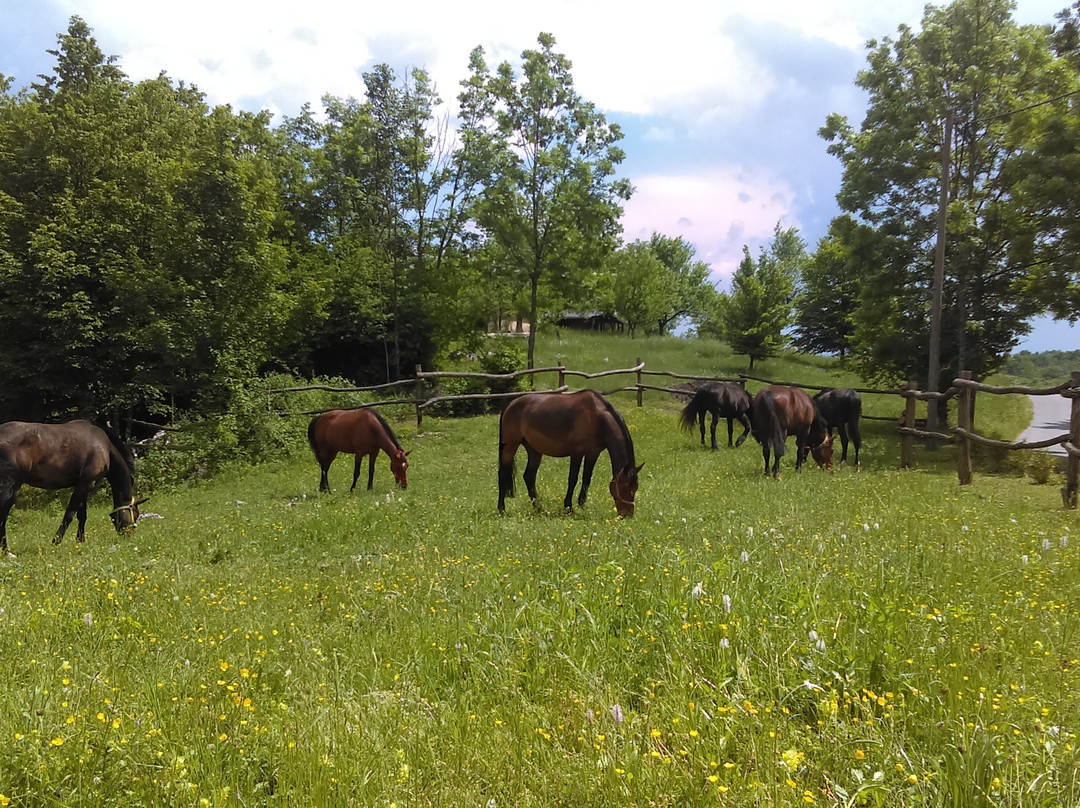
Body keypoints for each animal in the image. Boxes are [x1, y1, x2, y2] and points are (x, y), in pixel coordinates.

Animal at [0, 419, 145, 553]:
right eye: (136, 514)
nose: (129, 535)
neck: (105, 447)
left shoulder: (84, 486)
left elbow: (82, 515)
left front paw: (80, 540)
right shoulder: (85, 484)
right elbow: (69, 514)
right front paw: (57, 540)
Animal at [494, 391, 639, 518]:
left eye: (636, 487)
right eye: (624, 487)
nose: (627, 514)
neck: (597, 418)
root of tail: (509, 404)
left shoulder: (593, 453)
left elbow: (587, 478)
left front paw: (582, 505)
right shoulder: (577, 453)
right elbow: (573, 479)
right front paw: (568, 507)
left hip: (534, 450)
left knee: (529, 476)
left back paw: (540, 509)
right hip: (510, 446)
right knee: (503, 474)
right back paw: (502, 509)